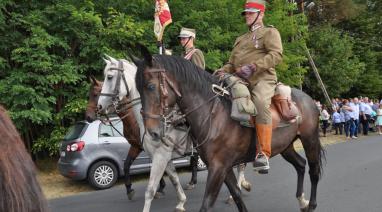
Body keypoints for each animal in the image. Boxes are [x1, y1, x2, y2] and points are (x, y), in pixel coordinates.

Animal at [133, 46, 324, 212]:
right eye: (137, 89)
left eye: (150, 86)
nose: (153, 132)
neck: (213, 114)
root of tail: (308, 99)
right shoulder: (223, 167)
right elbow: (237, 195)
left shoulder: (218, 167)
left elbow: (207, 204)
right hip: (286, 146)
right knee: (300, 165)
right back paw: (302, 200)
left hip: (310, 140)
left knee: (313, 171)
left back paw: (312, 204)